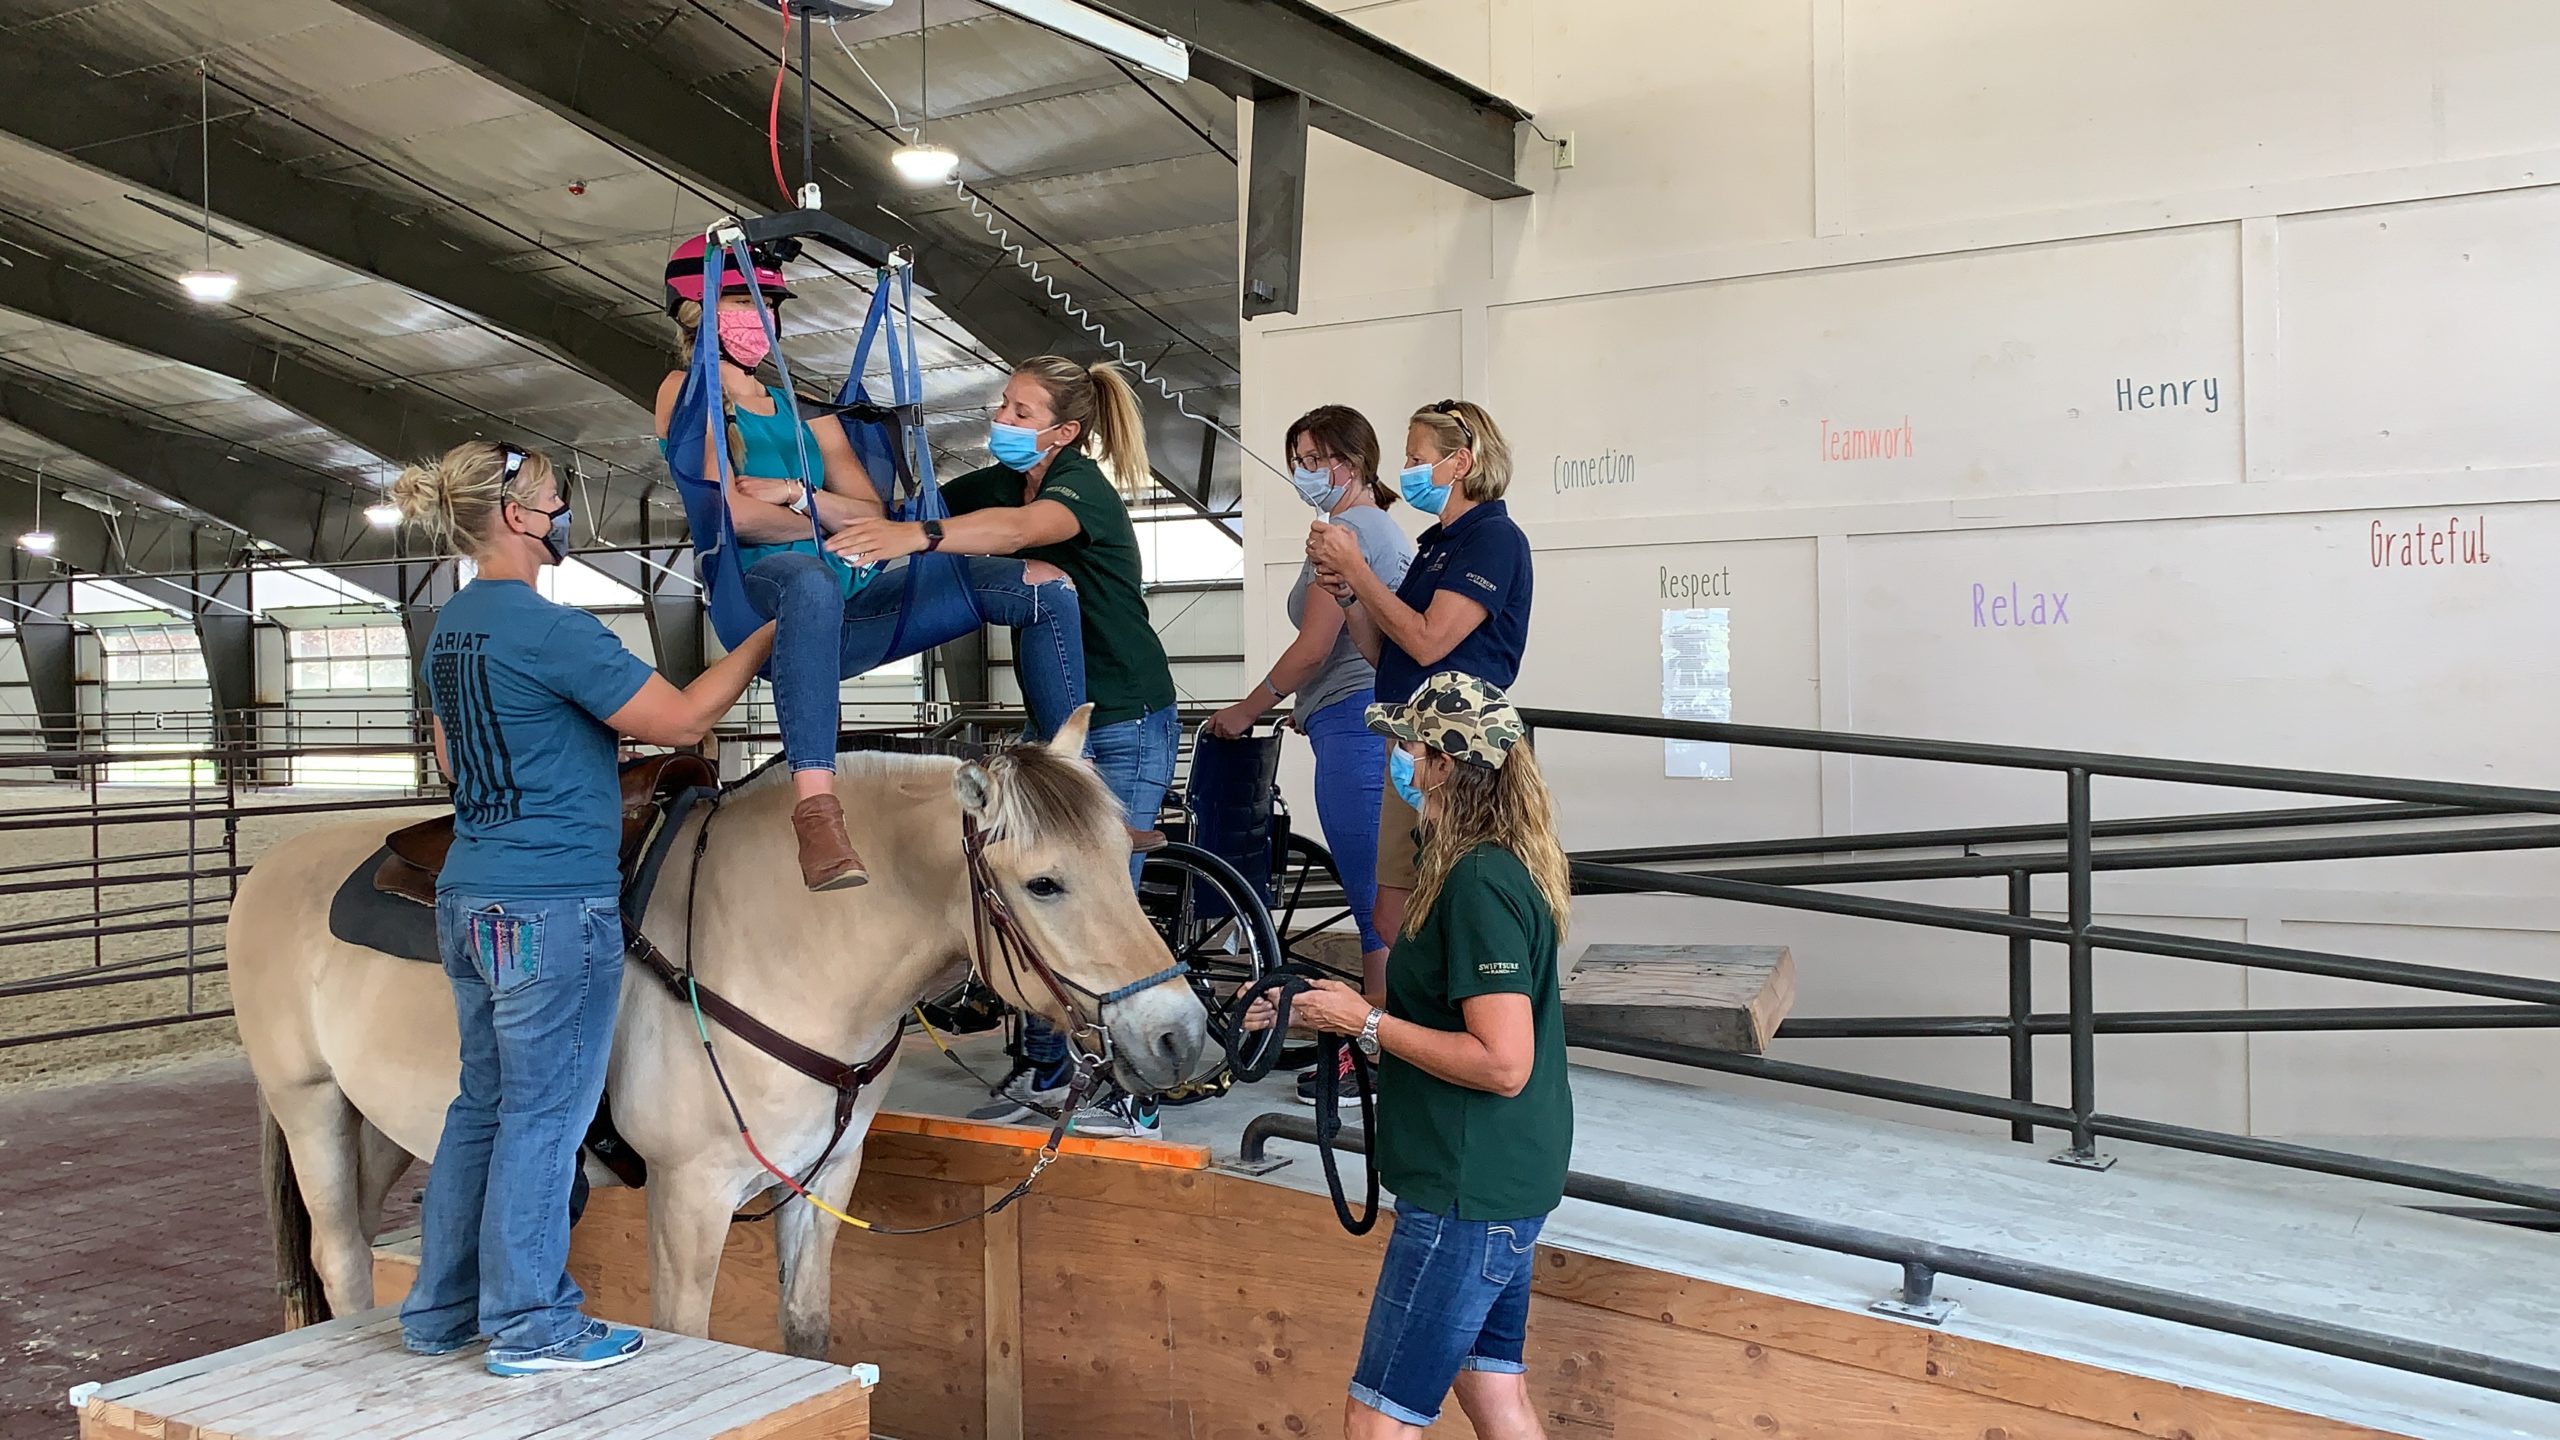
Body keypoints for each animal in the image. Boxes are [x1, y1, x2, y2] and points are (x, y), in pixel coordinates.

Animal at [230, 717, 1208, 1352]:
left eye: (1126, 858)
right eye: (1044, 883)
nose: (1182, 1036)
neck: (783, 944)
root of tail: (272, 865)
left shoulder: (824, 1178)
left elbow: (805, 1334)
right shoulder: (689, 1195)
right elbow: (686, 1328)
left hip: (383, 1125)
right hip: (310, 1105)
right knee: (340, 1253)